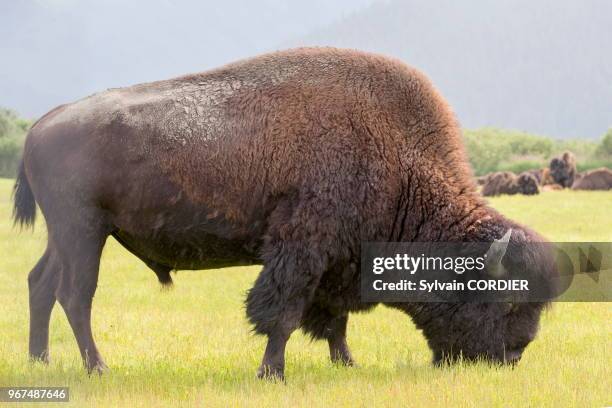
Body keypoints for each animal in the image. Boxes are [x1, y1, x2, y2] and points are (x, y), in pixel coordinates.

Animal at [13, 47, 560, 380]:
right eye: (506, 302)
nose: (512, 357)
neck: (399, 161)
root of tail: (43, 123)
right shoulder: (301, 249)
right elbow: (284, 313)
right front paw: (271, 372)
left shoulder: (341, 260)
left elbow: (334, 319)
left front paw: (346, 364)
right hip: (85, 232)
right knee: (75, 296)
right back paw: (98, 368)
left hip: (66, 237)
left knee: (40, 284)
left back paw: (40, 361)